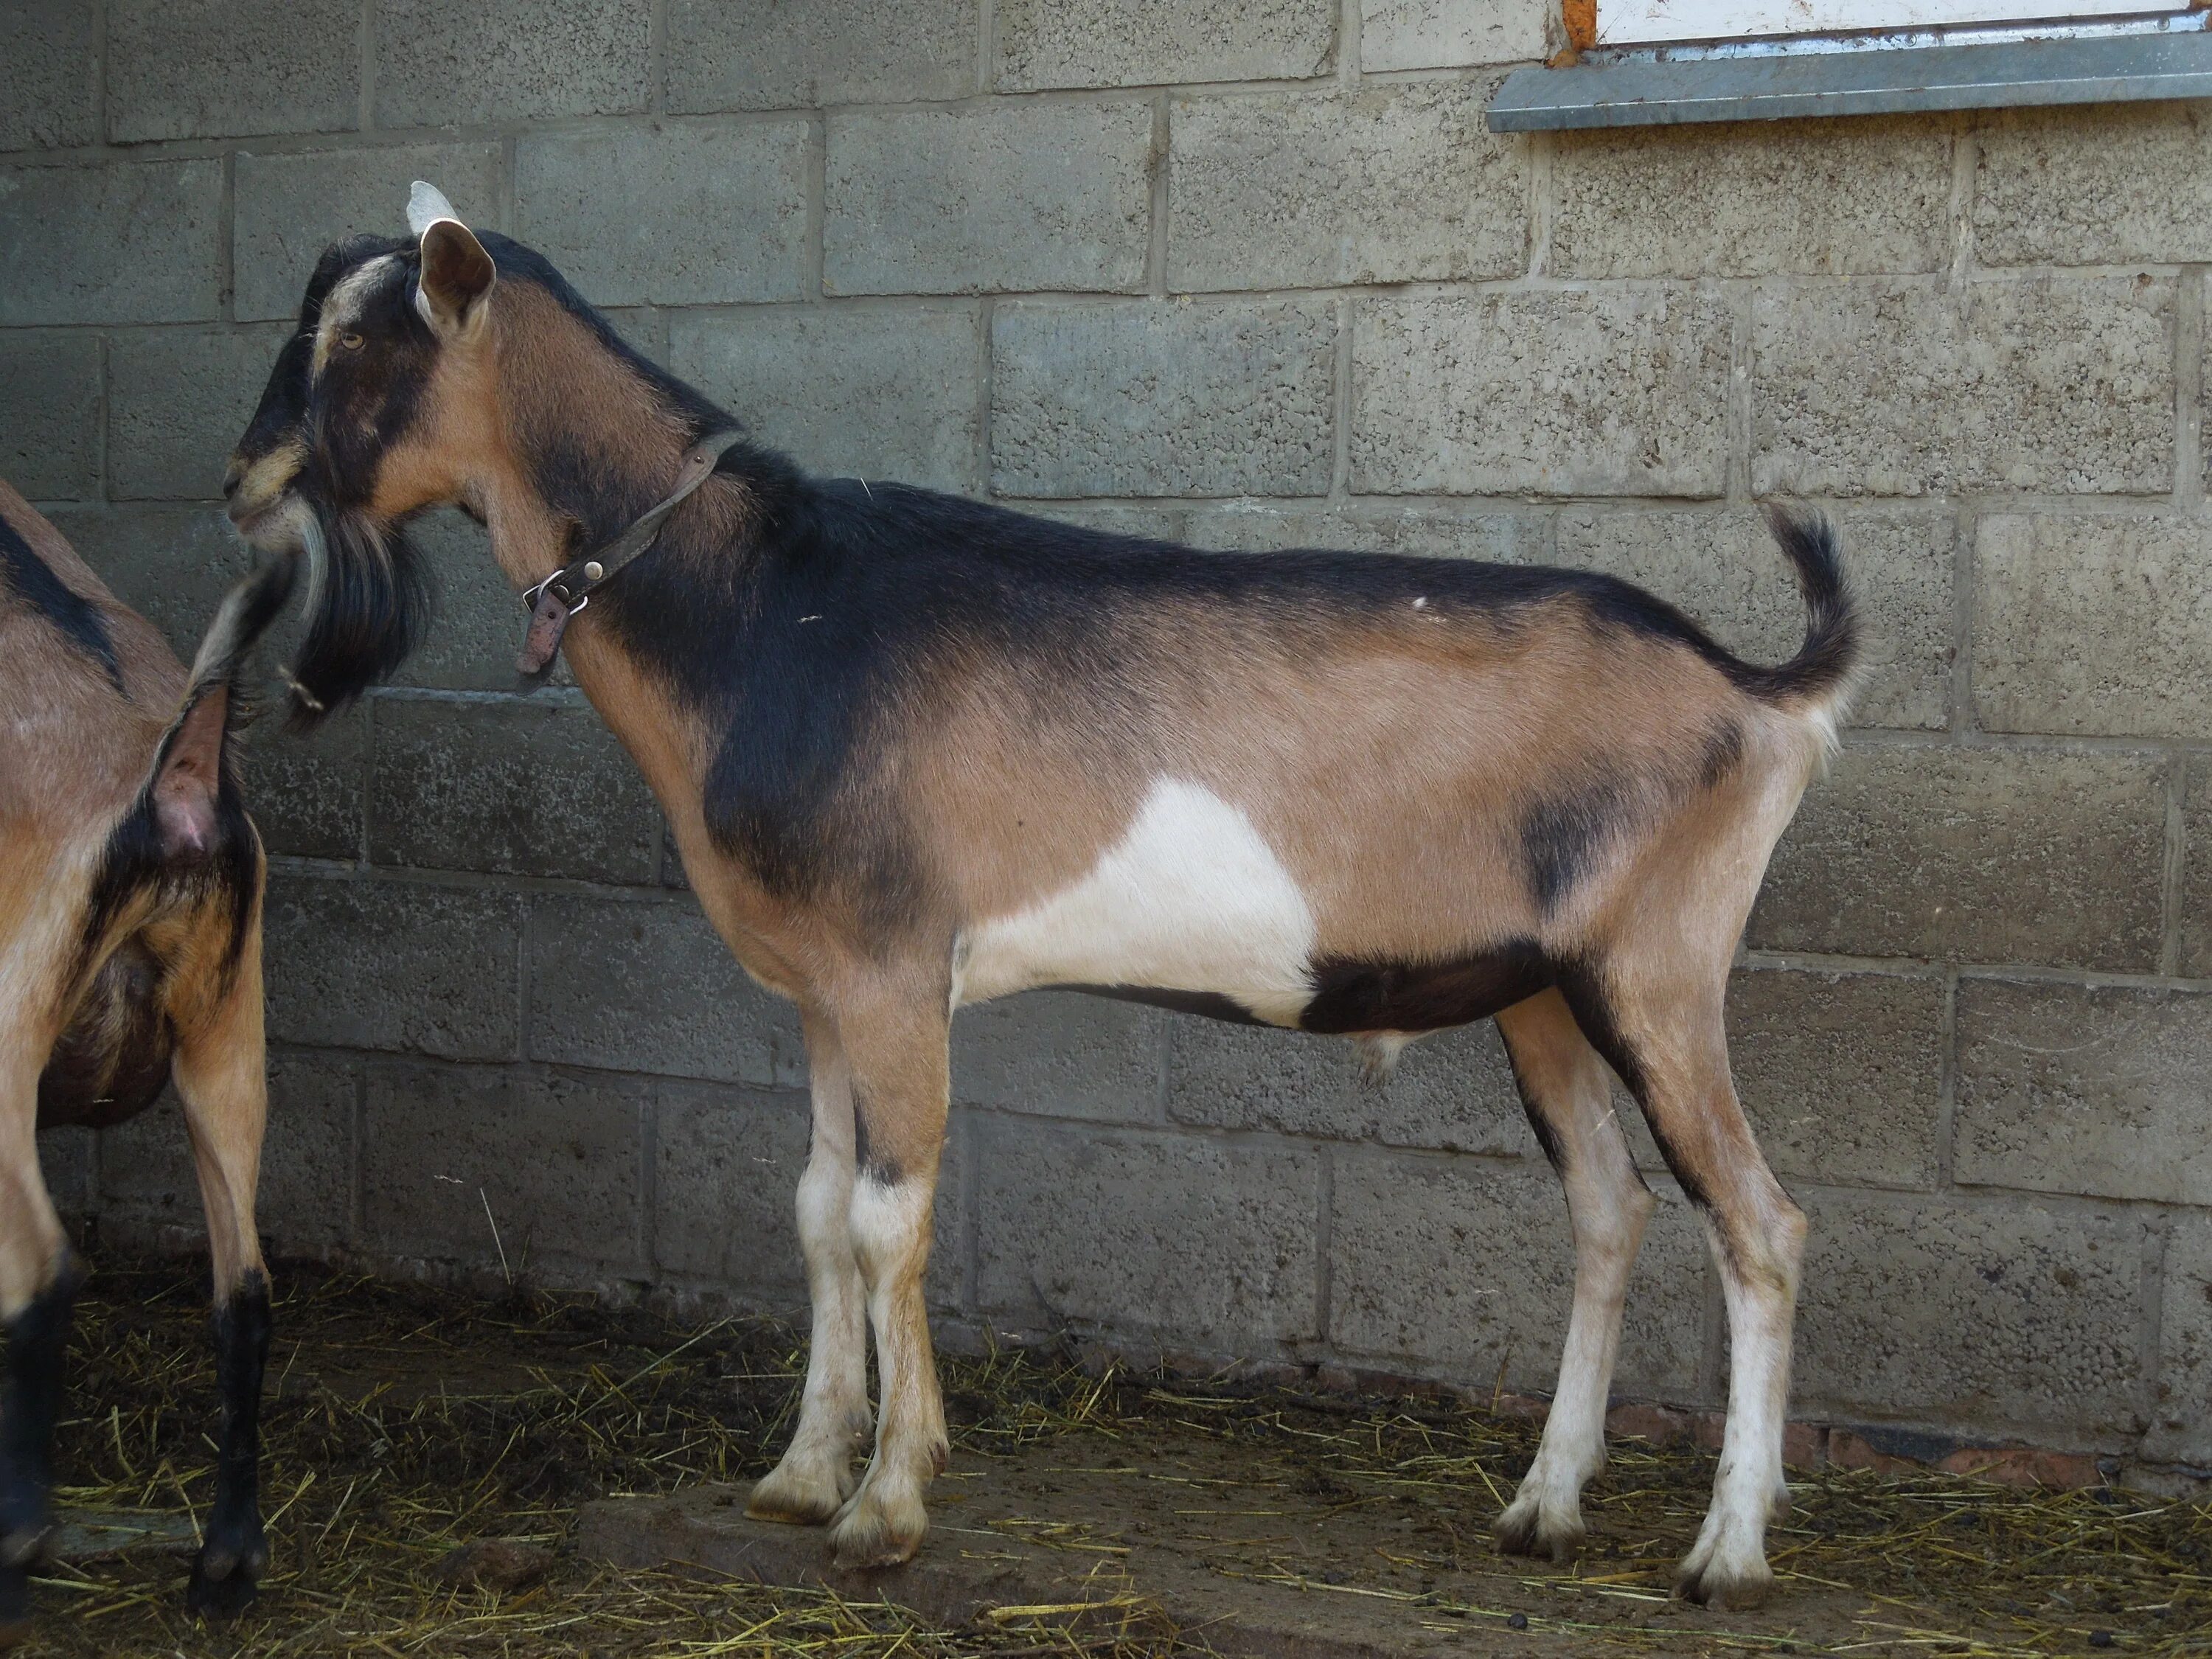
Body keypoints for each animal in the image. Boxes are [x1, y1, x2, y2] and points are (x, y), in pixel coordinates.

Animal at [0, 484, 294, 1655]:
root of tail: (172, 779)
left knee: (42, 1266)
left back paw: (19, 1548)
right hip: (230, 1027)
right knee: (243, 1289)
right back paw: (226, 1564)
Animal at [220, 184, 1849, 1610]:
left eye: (363, 343)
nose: (240, 482)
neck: (765, 612)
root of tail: (1761, 689)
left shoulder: (893, 968)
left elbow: (891, 1219)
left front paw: (888, 1507)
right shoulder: (823, 985)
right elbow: (816, 1207)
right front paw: (801, 1476)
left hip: (1658, 967)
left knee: (1760, 1224)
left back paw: (1724, 1556)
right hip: (1543, 990)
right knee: (1610, 1206)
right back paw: (1545, 1506)